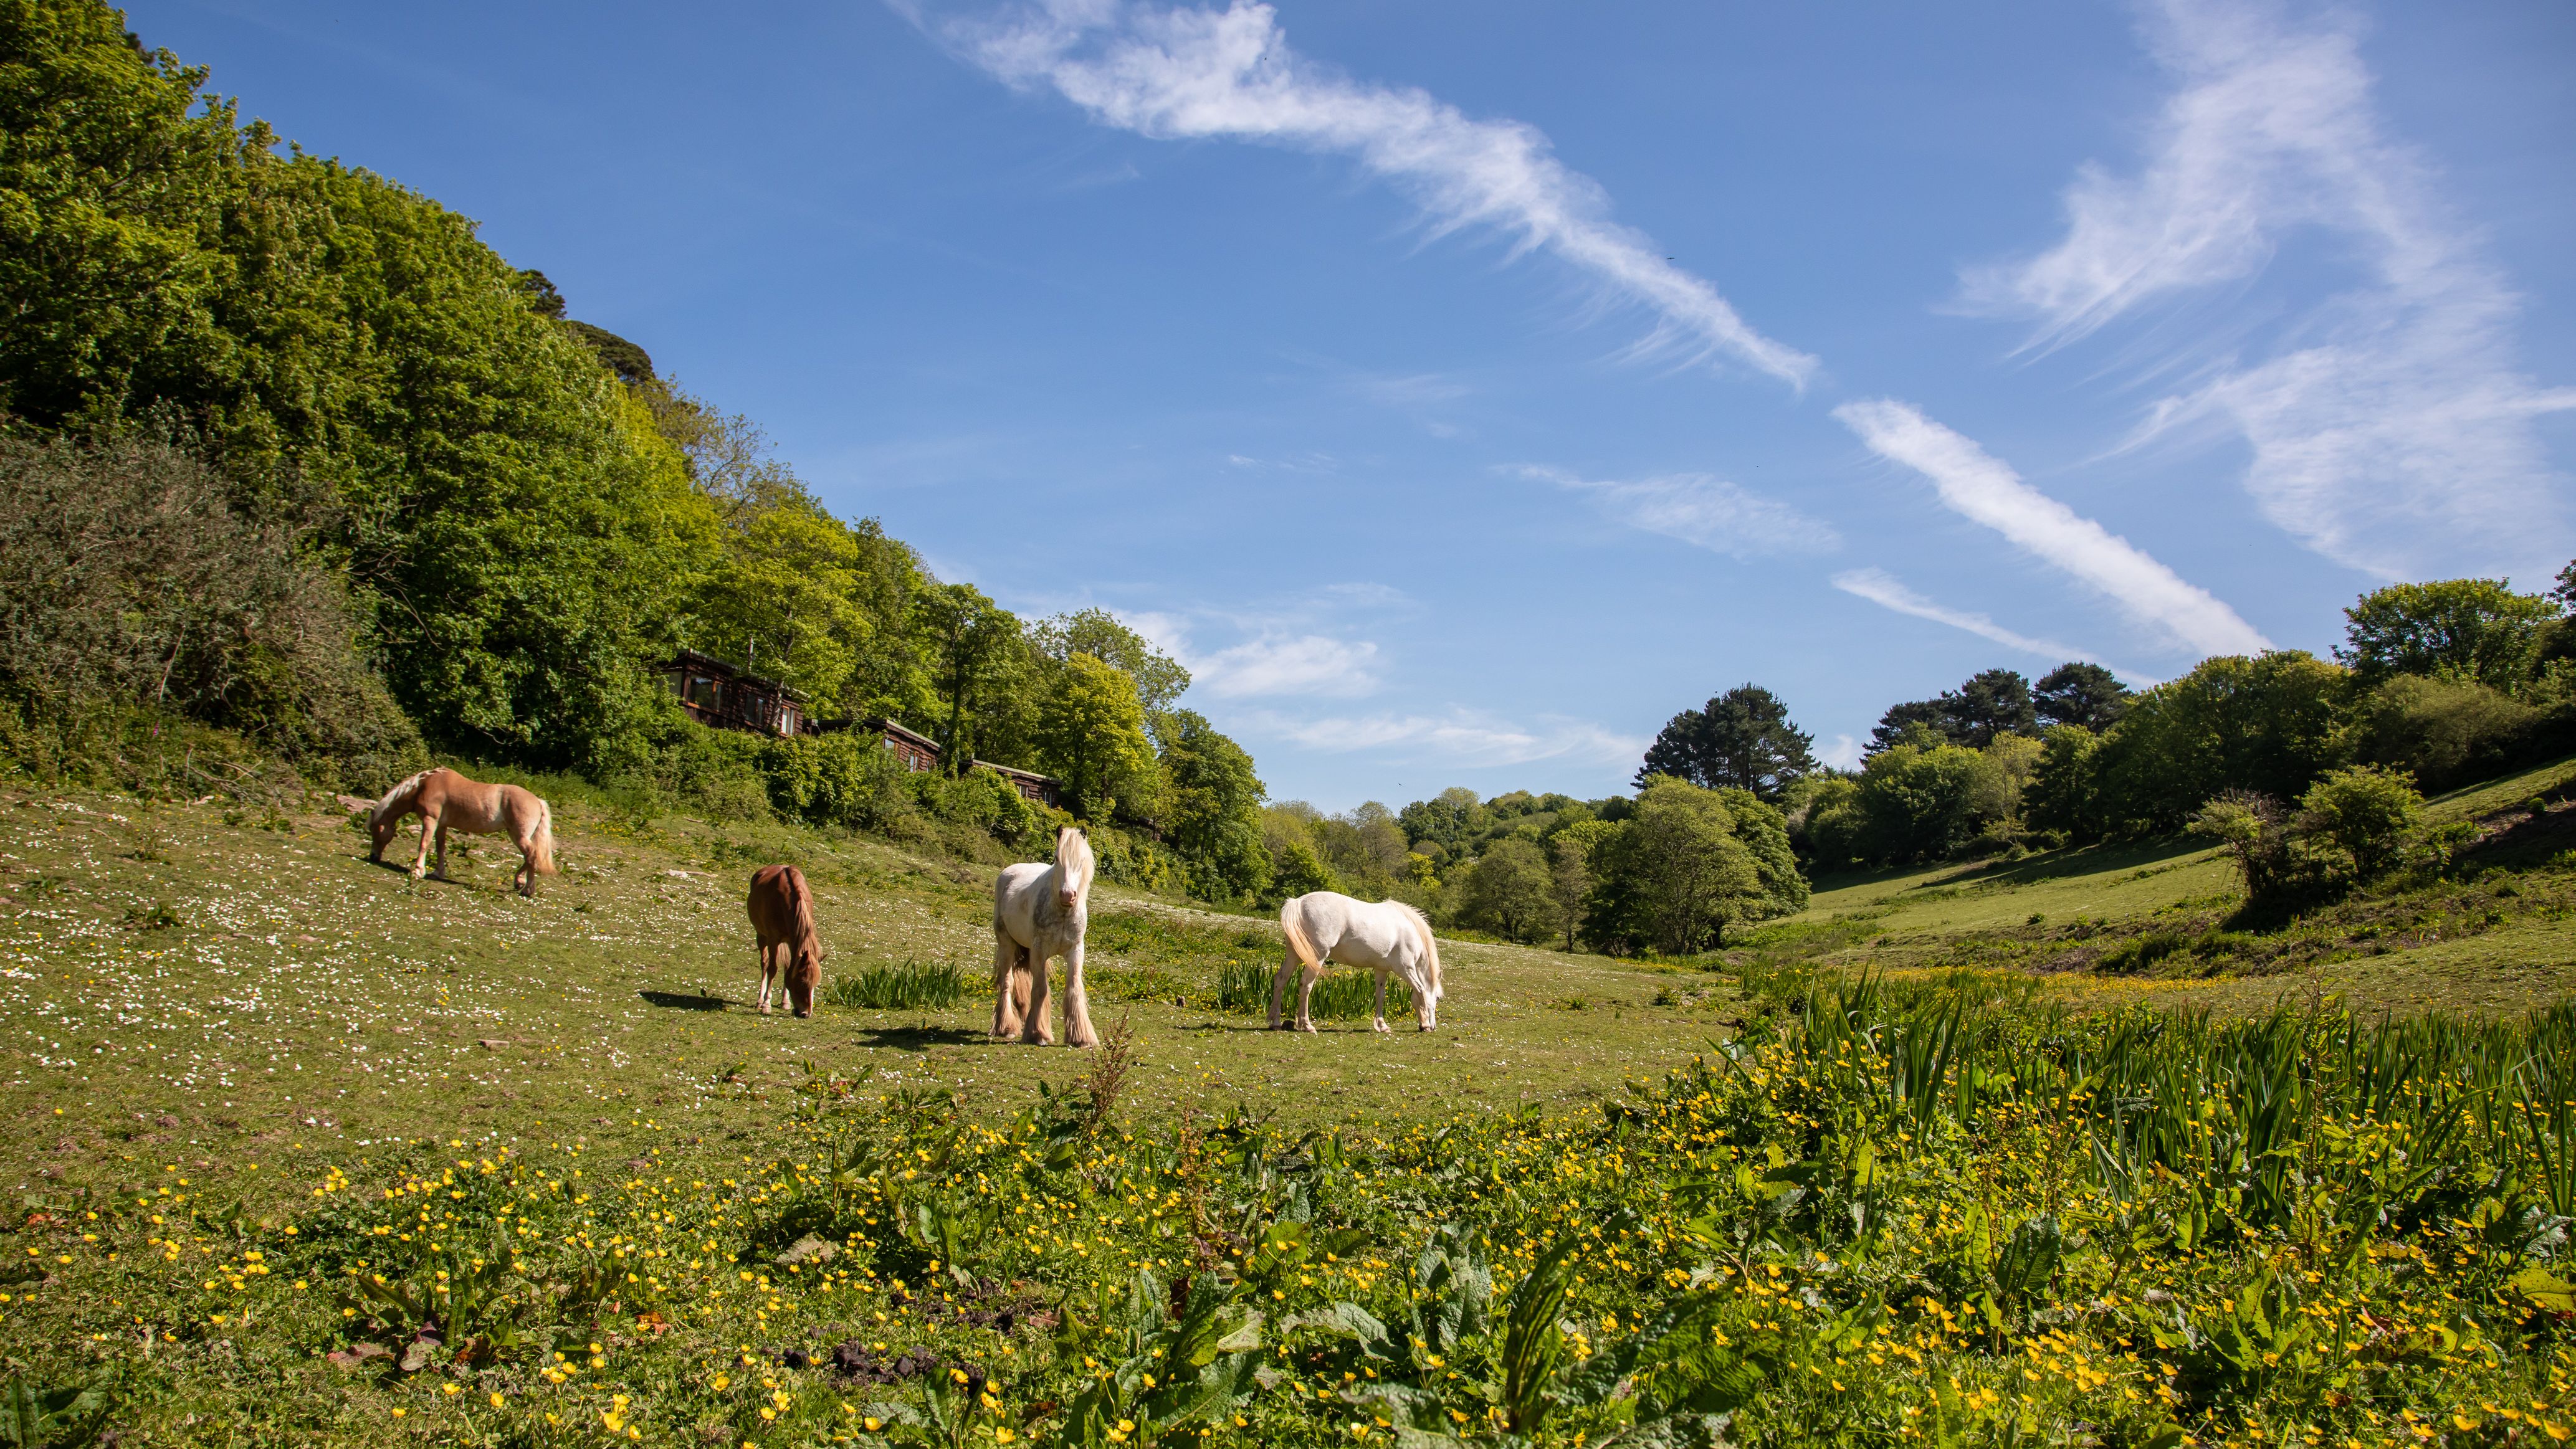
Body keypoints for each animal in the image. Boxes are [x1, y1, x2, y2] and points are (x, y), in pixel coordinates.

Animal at [367, 768, 557, 897]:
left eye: (374, 830)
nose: (373, 856)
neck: (425, 786)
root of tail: (538, 801)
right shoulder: (441, 826)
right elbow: (440, 848)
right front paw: (438, 873)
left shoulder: (430, 820)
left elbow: (424, 844)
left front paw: (418, 871)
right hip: (515, 834)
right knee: (530, 856)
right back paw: (519, 882)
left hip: (520, 836)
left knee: (531, 855)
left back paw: (527, 889)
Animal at [746, 864, 824, 1018]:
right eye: (802, 982)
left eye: (815, 984)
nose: (806, 1014)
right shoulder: (773, 939)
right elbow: (773, 969)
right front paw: (767, 1005)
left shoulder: (791, 940)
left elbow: (788, 967)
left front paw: (785, 1002)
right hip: (761, 935)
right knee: (764, 963)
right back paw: (760, 1001)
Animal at [990, 826, 1098, 1047]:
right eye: (1057, 858)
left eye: (1081, 860)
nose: (1068, 895)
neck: (1063, 912)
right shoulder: (1039, 952)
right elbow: (1041, 990)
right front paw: (1038, 1034)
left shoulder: (1076, 951)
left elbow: (1073, 988)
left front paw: (1081, 1038)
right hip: (1006, 944)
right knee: (1007, 982)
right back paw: (1007, 1028)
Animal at [1272, 891, 1443, 1034]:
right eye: (1437, 998)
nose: (1434, 1026)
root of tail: (1298, 903)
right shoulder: (1406, 969)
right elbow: (1421, 990)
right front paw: (1424, 1024)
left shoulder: (1382, 970)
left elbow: (1380, 995)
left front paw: (1382, 1026)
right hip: (1316, 958)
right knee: (1305, 986)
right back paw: (1307, 1025)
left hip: (1294, 956)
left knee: (1280, 980)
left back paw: (1275, 1022)